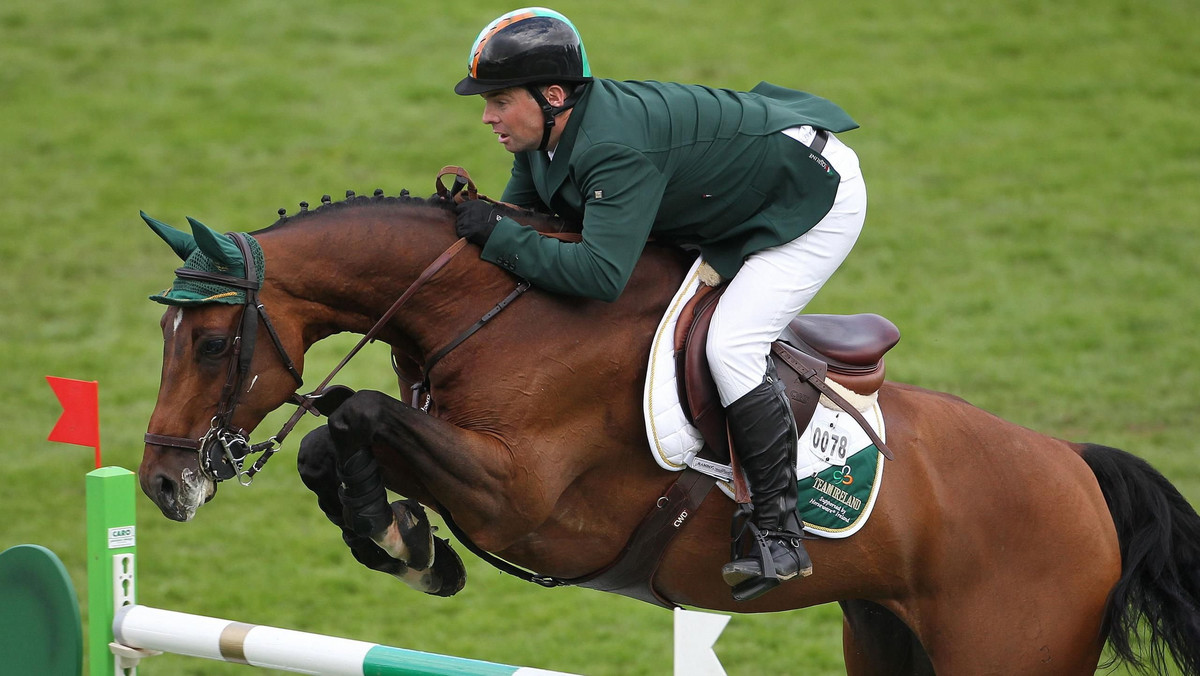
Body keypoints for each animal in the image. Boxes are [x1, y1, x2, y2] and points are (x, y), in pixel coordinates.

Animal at [138, 192, 1200, 676]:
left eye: (216, 341)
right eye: (165, 337)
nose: (160, 484)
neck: (494, 310)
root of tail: (1076, 469)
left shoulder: (528, 503)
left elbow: (356, 412)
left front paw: (406, 541)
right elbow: (336, 437)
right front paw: (404, 540)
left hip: (1006, 653)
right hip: (890, 639)